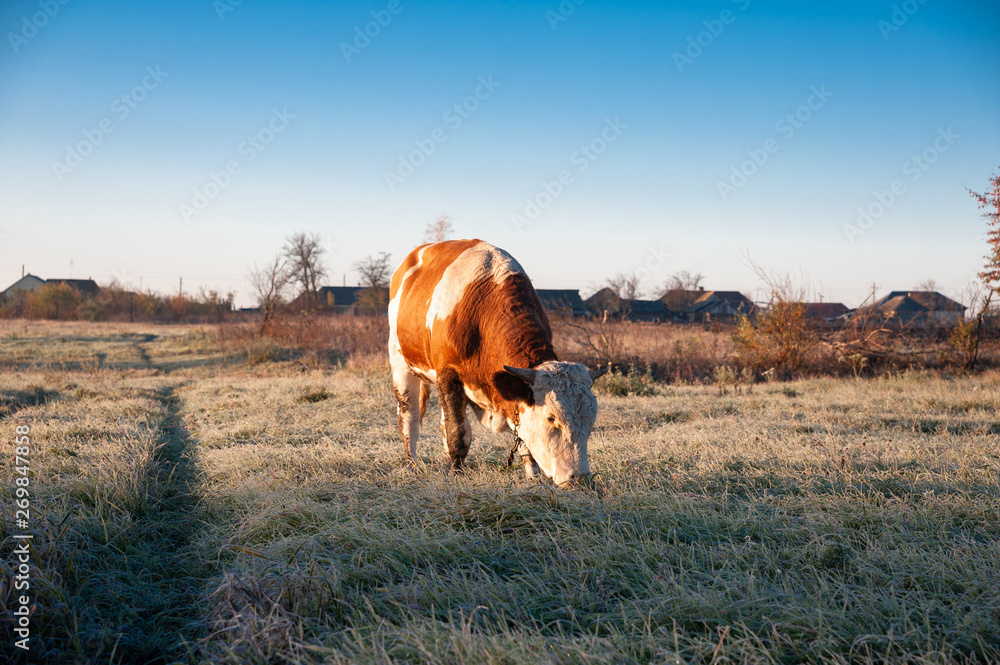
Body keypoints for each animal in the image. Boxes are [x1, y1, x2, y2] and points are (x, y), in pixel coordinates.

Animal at [388, 237, 608, 482]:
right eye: (551, 418)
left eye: (592, 417)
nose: (580, 477)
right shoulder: (448, 374)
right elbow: (458, 433)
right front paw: (456, 473)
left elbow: (521, 436)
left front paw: (532, 476)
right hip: (399, 360)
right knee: (409, 417)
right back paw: (411, 463)